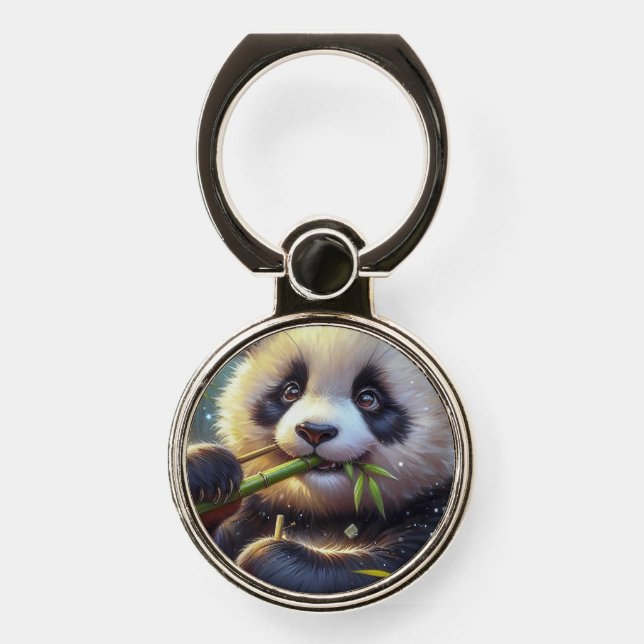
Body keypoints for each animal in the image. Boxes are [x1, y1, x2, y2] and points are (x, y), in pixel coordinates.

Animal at [187, 326, 454, 594]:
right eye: (290, 391)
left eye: (368, 399)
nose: (315, 431)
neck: (325, 512)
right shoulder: (258, 512)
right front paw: (209, 472)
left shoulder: (429, 511)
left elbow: (369, 568)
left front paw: (270, 557)